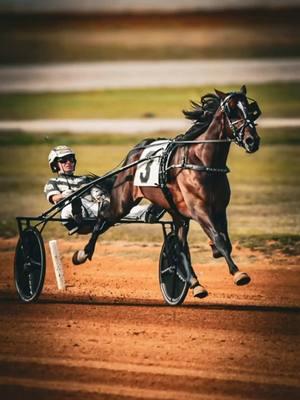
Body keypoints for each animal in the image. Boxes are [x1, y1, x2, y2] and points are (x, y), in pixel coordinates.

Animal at [72, 86, 260, 298]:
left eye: (251, 109)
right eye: (232, 111)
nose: (252, 141)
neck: (201, 162)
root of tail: (135, 151)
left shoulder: (219, 209)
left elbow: (224, 241)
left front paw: (216, 253)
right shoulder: (200, 210)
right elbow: (219, 238)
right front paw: (238, 273)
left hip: (175, 212)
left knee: (180, 246)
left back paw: (195, 283)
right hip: (122, 202)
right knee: (103, 218)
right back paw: (83, 253)